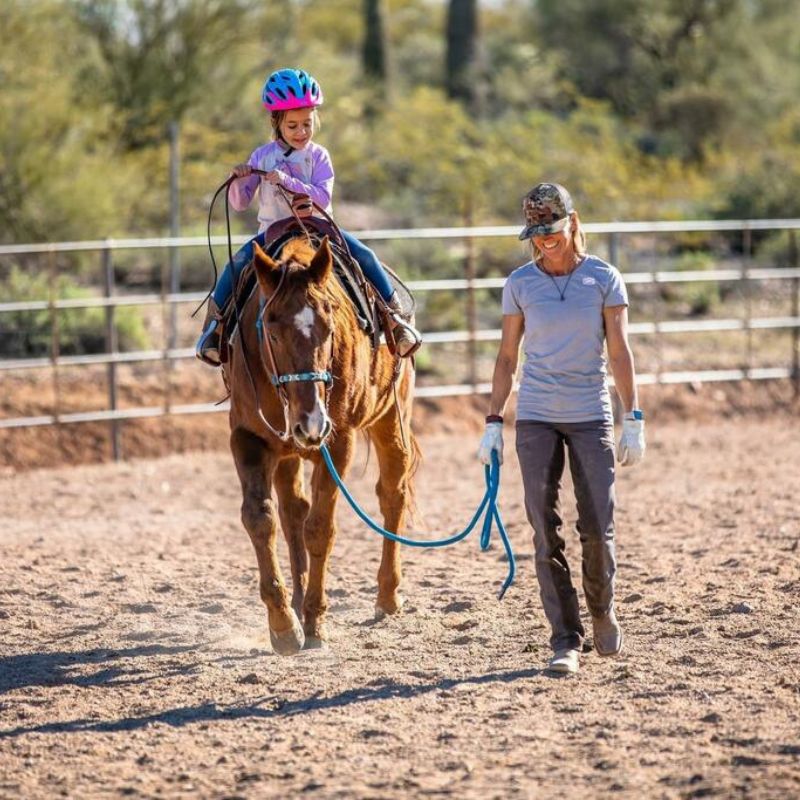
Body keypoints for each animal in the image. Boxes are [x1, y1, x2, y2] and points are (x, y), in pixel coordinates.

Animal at [220, 233, 418, 656]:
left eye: (329, 329)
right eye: (271, 331)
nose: (311, 422)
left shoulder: (338, 442)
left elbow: (320, 528)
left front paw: (313, 622)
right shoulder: (247, 438)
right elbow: (261, 518)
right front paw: (283, 623)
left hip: (391, 418)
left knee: (392, 495)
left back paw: (388, 596)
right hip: (289, 451)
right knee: (292, 510)